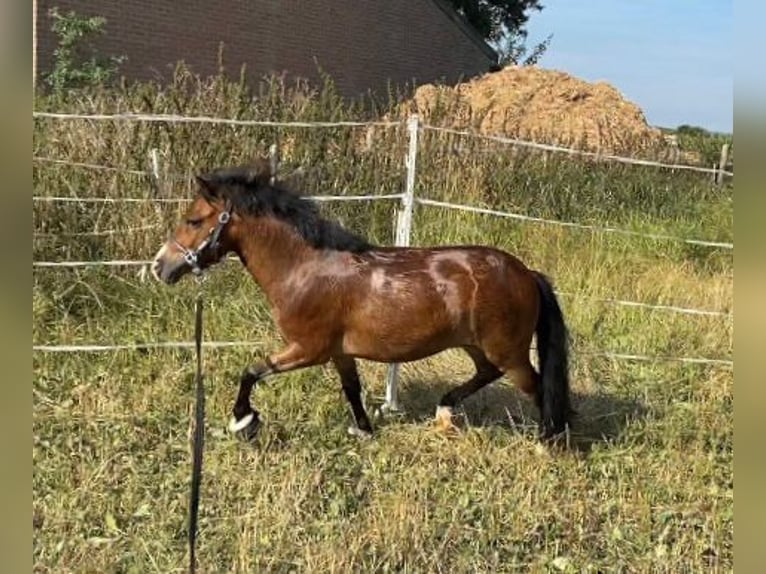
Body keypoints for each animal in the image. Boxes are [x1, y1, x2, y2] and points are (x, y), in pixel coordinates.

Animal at [152, 164, 568, 444]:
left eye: (193, 220)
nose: (159, 266)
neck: (305, 268)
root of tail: (527, 273)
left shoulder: (309, 349)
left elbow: (252, 370)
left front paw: (244, 420)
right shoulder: (340, 352)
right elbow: (351, 388)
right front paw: (365, 430)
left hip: (507, 351)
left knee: (537, 386)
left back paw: (547, 442)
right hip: (478, 345)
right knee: (486, 373)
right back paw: (445, 409)